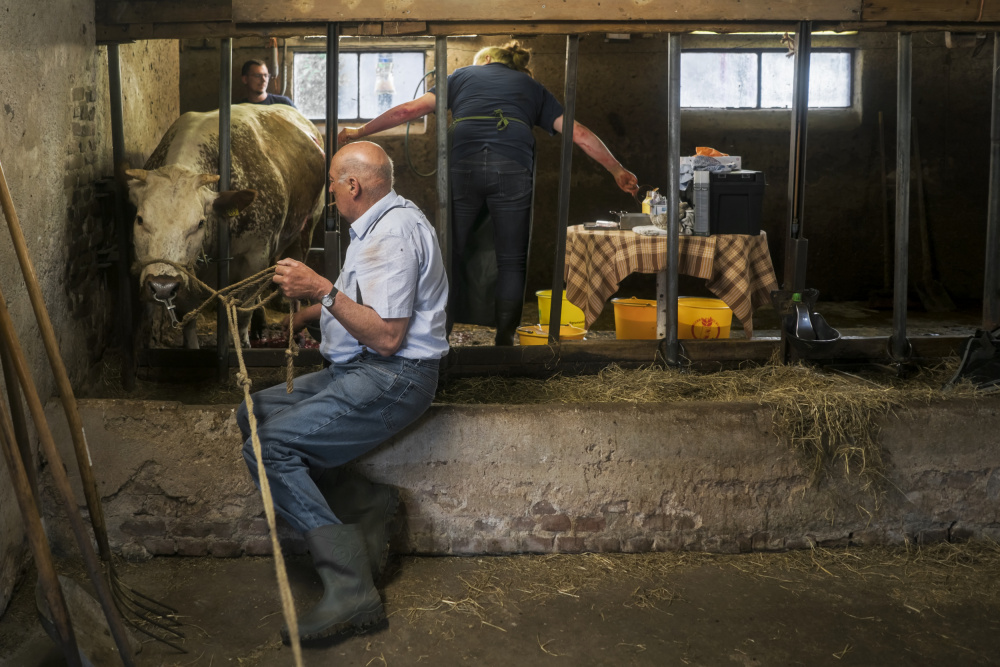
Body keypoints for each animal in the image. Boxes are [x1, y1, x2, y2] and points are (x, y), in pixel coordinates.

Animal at [126, 104, 324, 350]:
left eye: (199, 223)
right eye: (140, 219)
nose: (162, 286)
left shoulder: (255, 255)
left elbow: (243, 311)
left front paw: (242, 344)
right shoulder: (186, 277)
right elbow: (188, 319)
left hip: (307, 226)